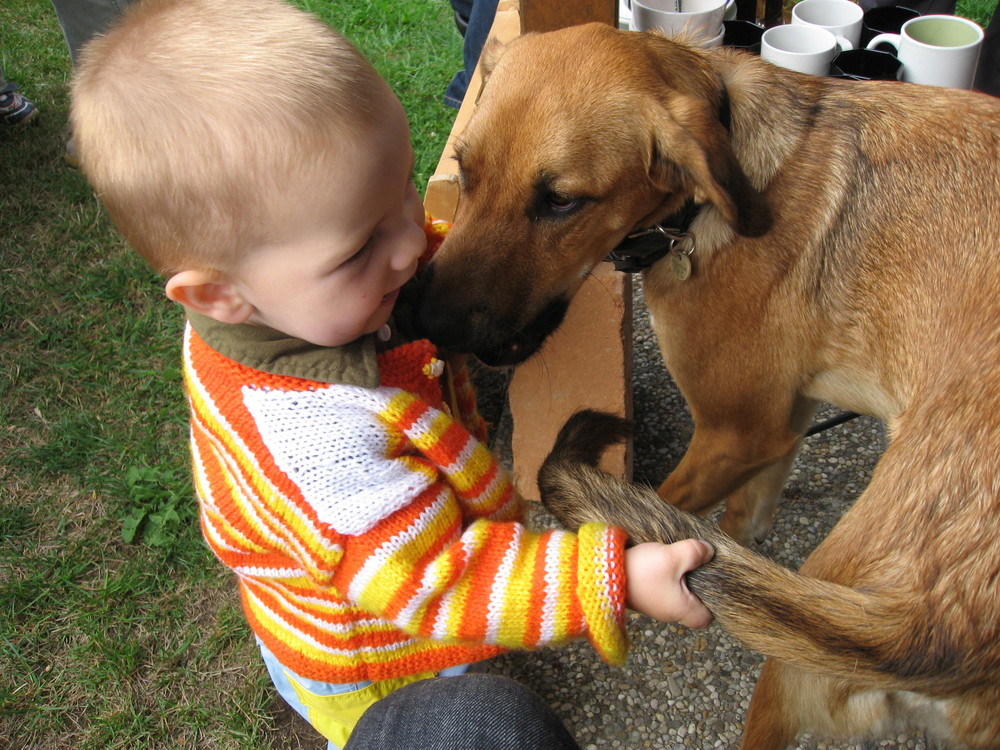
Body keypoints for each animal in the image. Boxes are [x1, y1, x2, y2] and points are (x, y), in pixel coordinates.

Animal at [412, 22, 1000, 750]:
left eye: (562, 202)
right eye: (464, 172)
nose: (420, 320)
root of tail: (935, 624)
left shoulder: (734, 431)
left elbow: (656, 516)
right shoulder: (779, 425)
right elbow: (744, 517)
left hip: (784, 688)